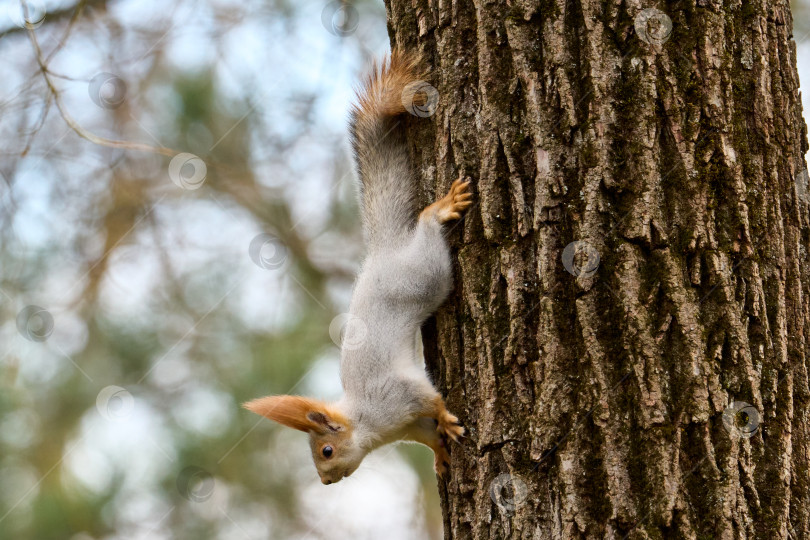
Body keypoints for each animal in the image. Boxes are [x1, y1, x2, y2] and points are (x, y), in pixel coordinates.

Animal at [241, 48, 468, 484]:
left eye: (326, 451)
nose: (326, 481)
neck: (369, 424)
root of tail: (384, 248)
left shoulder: (397, 395)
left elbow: (430, 399)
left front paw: (447, 417)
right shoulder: (409, 424)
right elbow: (428, 432)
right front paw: (439, 454)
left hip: (425, 275)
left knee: (429, 231)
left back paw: (439, 209)